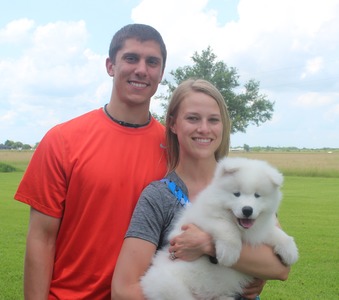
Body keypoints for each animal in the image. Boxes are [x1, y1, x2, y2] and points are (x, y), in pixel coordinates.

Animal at [142, 157, 298, 300]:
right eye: (236, 194)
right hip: (170, 286)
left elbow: (276, 233)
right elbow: (226, 227)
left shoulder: (259, 231)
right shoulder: (202, 219)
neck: (243, 230)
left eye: (257, 196)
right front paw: (229, 253)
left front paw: (290, 252)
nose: (247, 210)